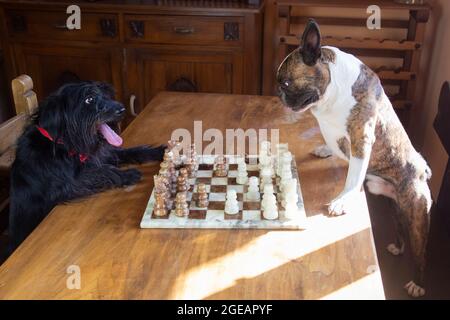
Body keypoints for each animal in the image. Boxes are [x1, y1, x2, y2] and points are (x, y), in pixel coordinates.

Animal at [9, 81, 163, 251]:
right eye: (89, 99)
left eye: (105, 94)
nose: (122, 109)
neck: (64, 145)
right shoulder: (68, 186)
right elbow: (103, 172)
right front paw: (127, 174)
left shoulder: (101, 155)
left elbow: (129, 152)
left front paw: (159, 151)